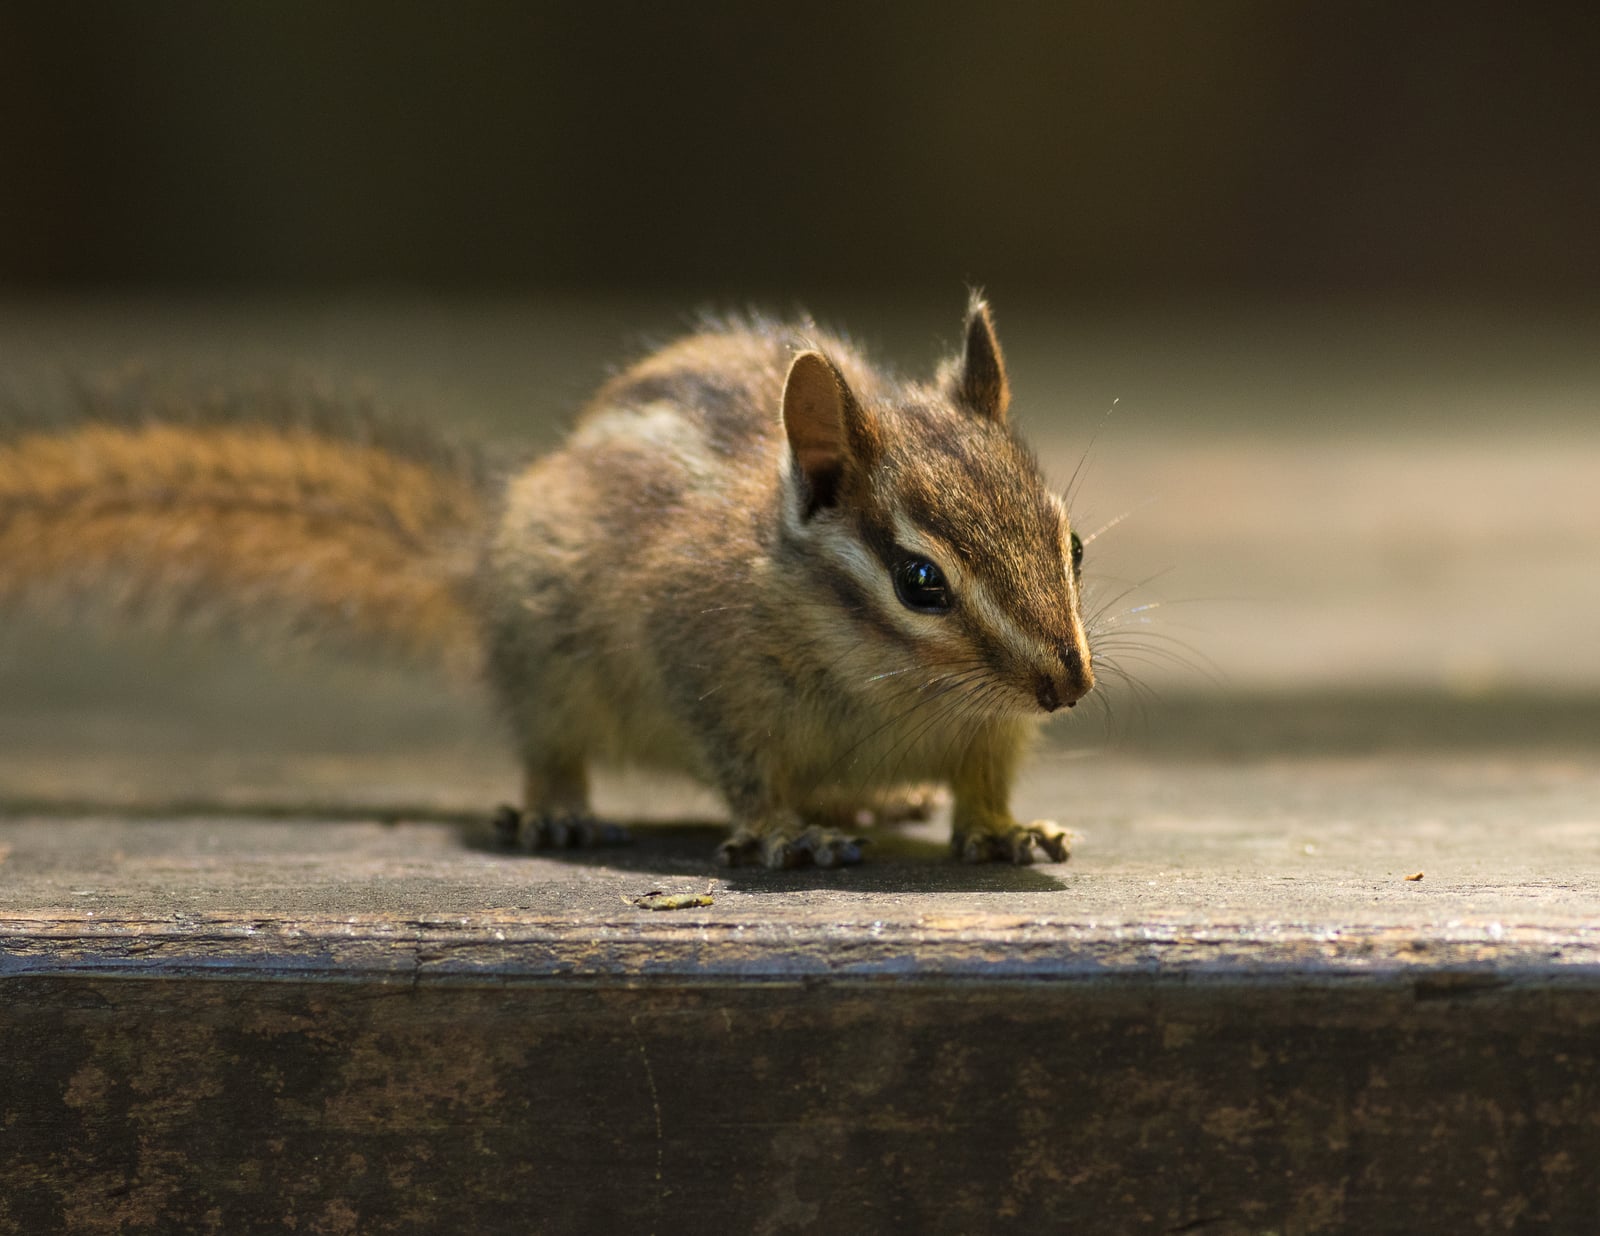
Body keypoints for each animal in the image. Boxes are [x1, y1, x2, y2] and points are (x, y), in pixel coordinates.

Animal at [0, 295, 1095, 869]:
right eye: (921, 581)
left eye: (1072, 544)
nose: (1068, 687)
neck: (897, 686)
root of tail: (477, 558)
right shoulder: (708, 671)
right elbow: (749, 771)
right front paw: (786, 832)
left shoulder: (988, 729)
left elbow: (984, 779)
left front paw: (1004, 830)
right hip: (546, 663)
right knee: (547, 750)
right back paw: (558, 811)